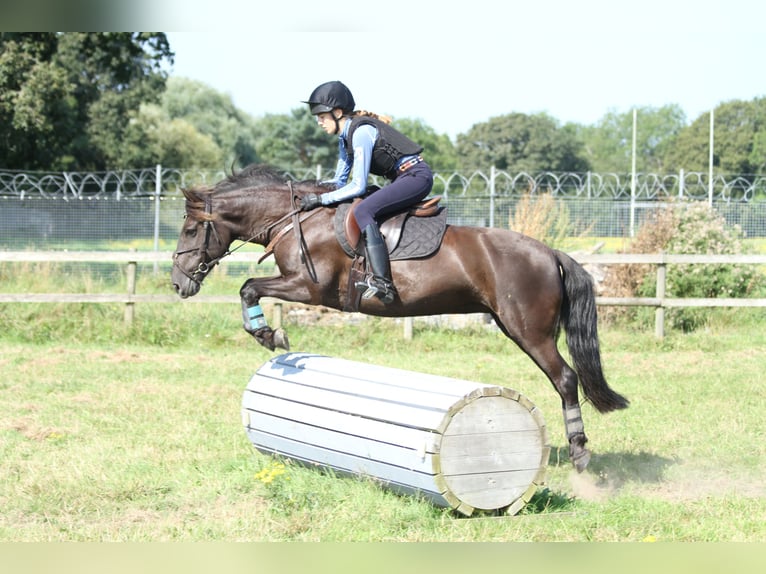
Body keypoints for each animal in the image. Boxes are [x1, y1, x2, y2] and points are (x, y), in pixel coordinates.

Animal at [174, 163, 632, 472]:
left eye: (191, 232)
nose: (179, 284)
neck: (297, 219)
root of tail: (549, 251)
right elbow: (249, 286)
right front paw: (267, 333)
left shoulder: (310, 288)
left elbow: (249, 285)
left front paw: (269, 335)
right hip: (509, 324)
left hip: (529, 331)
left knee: (566, 378)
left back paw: (579, 451)